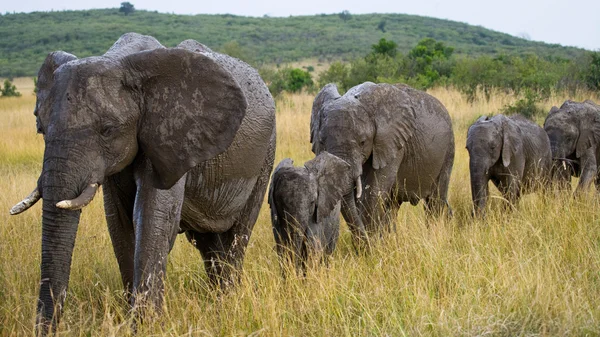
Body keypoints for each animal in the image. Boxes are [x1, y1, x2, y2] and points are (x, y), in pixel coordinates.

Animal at [9, 32, 276, 334]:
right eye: (41, 128)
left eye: (108, 130)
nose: (49, 329)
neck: (119, 61)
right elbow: (120, 223)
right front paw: (134, 321)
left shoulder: (169, 133)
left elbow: (151, 218)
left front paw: (148, 326)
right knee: (210, 245)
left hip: (266, 154)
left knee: (238, 236)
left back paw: (227, 303)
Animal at [310, 81, 454, 242]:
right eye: (322, 142)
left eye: (362, 142)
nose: (363, 242)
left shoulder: (392, 142)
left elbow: (372, 194)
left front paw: (372, 245)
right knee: (393, 206)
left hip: (448, 150)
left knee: (435, 201)